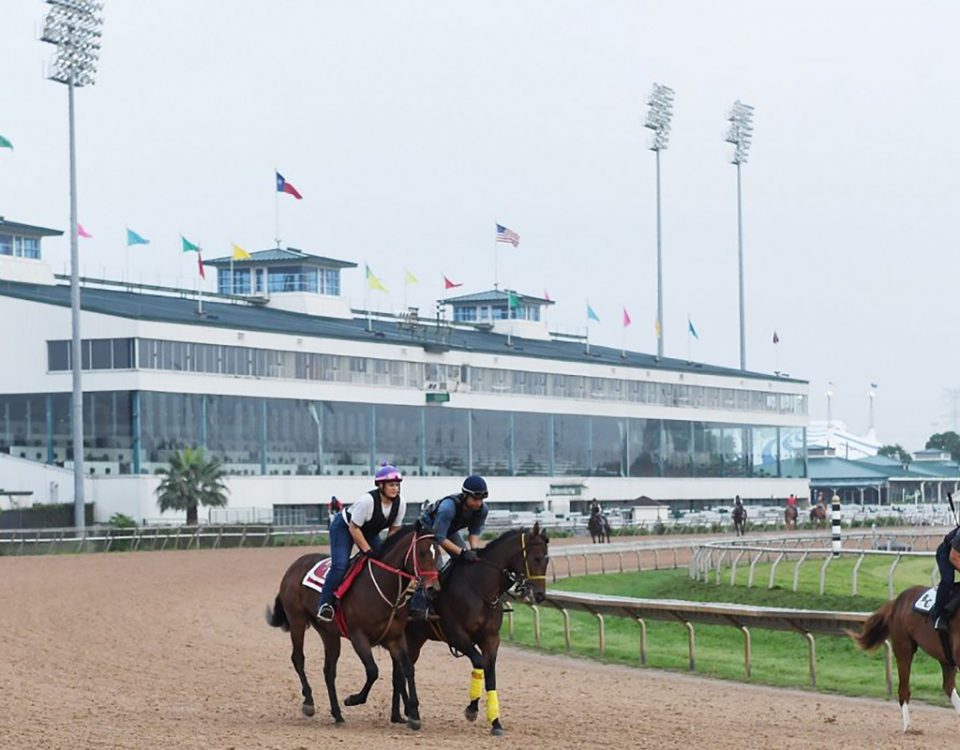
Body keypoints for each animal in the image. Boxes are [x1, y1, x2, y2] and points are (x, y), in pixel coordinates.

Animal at [264, 524, 440, 732]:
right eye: (422, 552)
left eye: (438, 552)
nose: (433, 588)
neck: (383, 587)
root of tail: (295, 565)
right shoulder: (358, 636)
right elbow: (373, 671)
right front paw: (353, 699)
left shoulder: (395, 638)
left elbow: (407, 669)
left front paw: (414, 715)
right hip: (296, 620)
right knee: (298, 658)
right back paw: (309, 702)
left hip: (328, 632)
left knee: (329, 670)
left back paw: (337, 714)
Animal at [388, 524, 548, 736]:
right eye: (536, 558)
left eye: (547, 559)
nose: (540, 595)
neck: (480, 589)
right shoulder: (457, 636)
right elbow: (479, 662)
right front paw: (471, 710)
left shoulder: (491, 638)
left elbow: (490, 673)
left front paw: (496, 722)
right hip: (407, 637)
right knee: (401, 671)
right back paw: (408, 713)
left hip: (414, 638)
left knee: (400, 671)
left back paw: (399, 714)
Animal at [852, 588, 960, 736]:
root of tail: (896, 602)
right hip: (903, 649)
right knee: (903, 689)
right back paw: (907, 727)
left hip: (944, 656)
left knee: (948, 686)